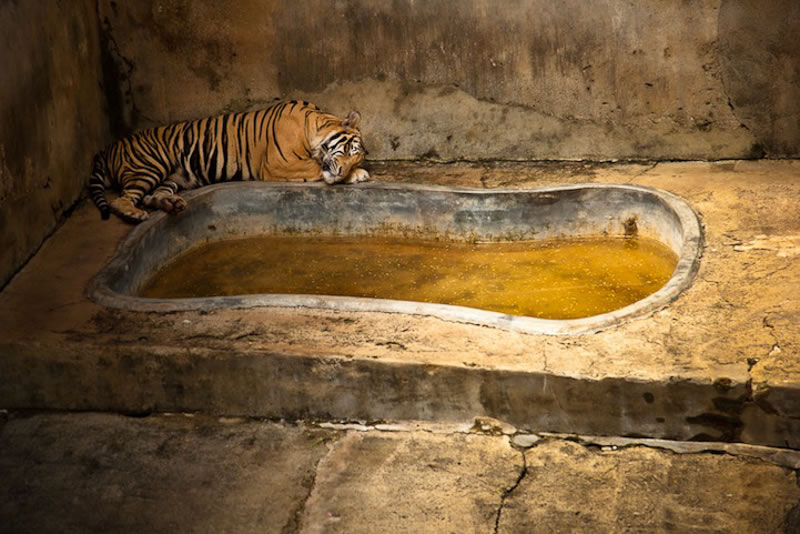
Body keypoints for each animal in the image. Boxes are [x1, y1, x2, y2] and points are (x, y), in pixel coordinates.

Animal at [89, 99, 370, 223]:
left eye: (356, 159)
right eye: (348, 150)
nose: (345, 171)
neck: (312, 125)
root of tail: (108, 148)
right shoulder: (277, 163)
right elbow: (315, 167)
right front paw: (356, 176)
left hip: (171, 177)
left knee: (151, 196)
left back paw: (173, 204)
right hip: (151, 165)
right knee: (120, 199)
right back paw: (135, 213)